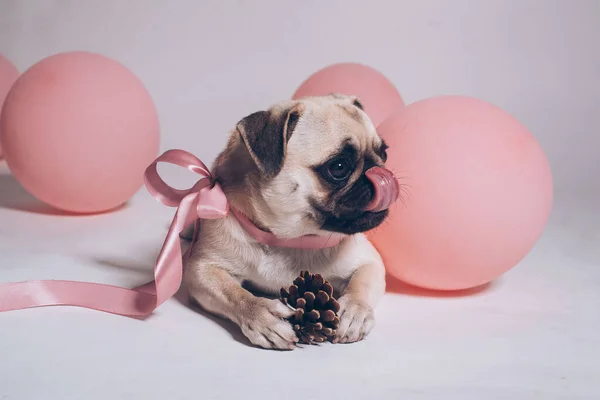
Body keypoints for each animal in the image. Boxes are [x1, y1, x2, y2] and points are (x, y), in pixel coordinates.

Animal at [183, 94, 398, 350]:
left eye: (384, 153)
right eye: (338, 167)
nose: (380, 171)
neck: (293, 240)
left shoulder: (370, 262)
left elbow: (360, 286)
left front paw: (354, 311)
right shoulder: (201, 270)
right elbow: (233, 293)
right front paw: (262, 314)